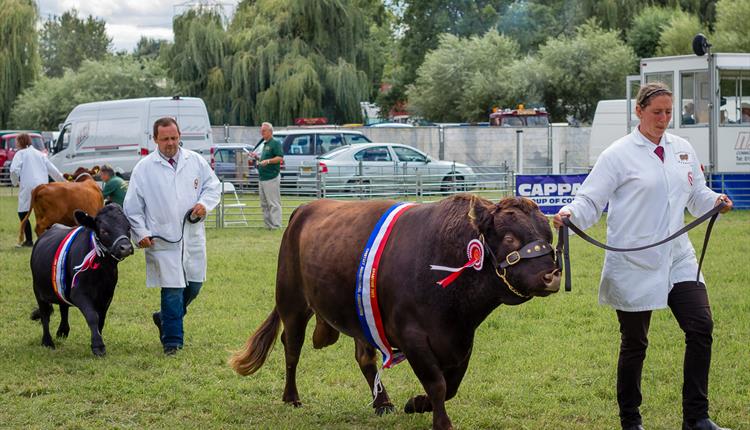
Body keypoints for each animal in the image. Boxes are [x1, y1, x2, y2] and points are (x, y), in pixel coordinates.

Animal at [232, 195, 560, 430]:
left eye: (549, 235)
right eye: (509, 238)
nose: (552, 275)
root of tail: (305, 207)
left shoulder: (462, 338)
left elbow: (451, 386)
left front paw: (416, 403)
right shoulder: (412, 335)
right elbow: (437, 383)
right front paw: (441, 421)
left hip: (360, 314)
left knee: (364, 358)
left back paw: (382, 402)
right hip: (292, 302)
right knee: (292, 348)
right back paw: (292, 397)